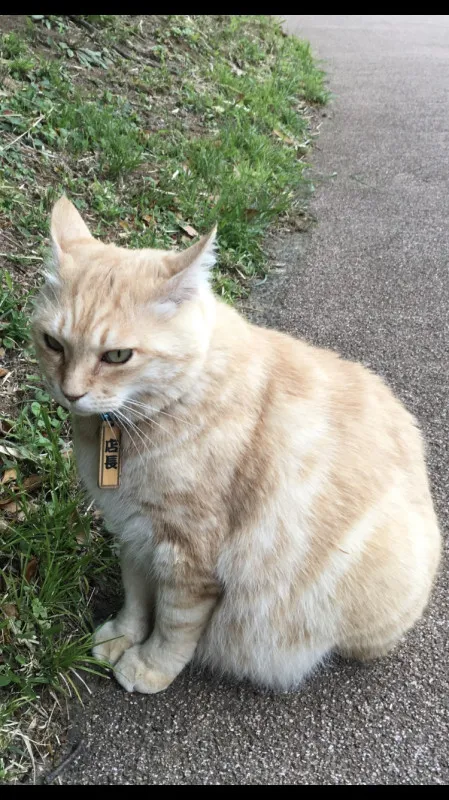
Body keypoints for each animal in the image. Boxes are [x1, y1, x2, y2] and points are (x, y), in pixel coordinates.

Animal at [32, 197, 440, 692]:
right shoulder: (133, 531)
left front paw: (149, 665)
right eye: (54, 343)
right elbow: (136, 596)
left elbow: (173, 624)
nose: (70, 393)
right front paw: (123, 637)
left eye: (117, 356)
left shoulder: (188, 557)